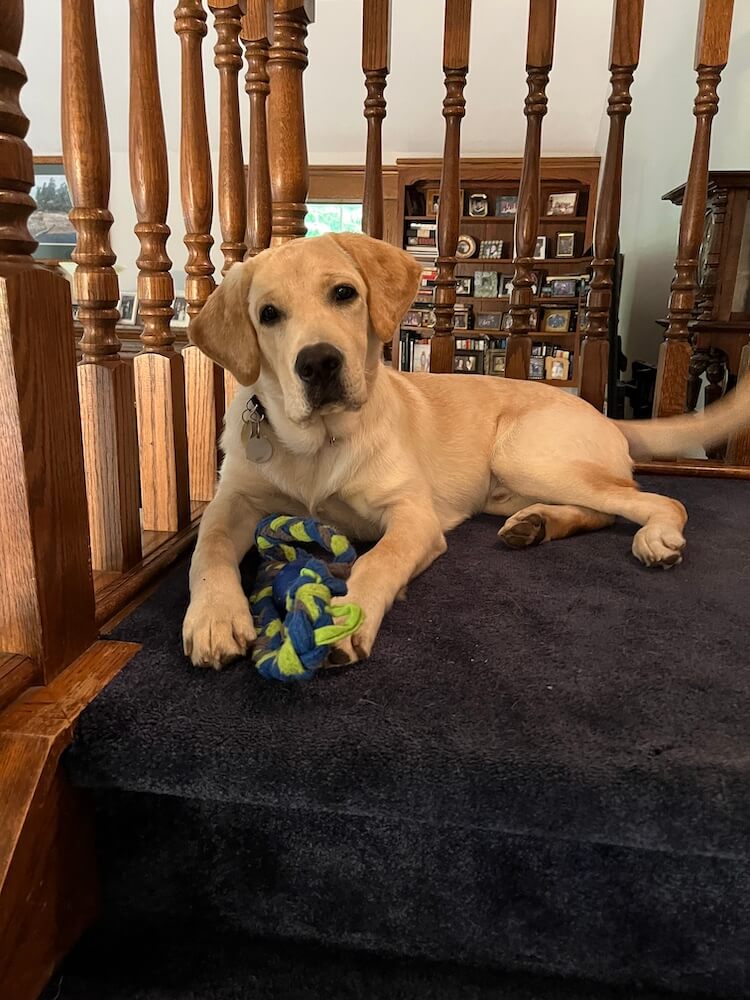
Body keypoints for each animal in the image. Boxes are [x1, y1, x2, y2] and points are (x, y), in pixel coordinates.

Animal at [184, 233, 750, 668]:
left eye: (343, 293)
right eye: (268, 314)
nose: (319, 362)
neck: (319, 442)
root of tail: (604, 414)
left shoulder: (411, 515)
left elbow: (379, 560)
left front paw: (349, 617)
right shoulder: (232, 502)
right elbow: (208, 548)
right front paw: (215, 617)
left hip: (524, 455)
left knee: (654, 500)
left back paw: (655, 537)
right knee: (603, 509)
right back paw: (536, 524)